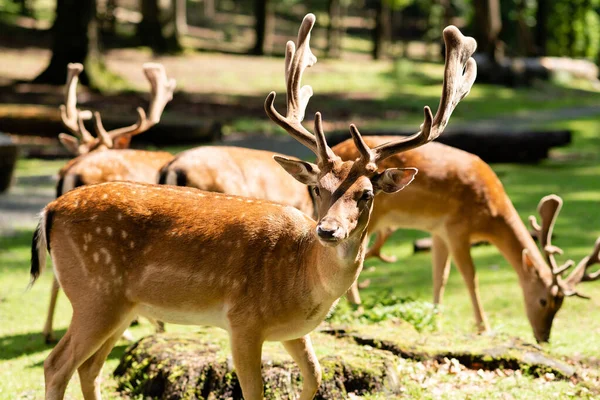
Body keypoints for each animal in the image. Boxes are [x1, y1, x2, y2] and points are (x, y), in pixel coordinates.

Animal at [332, 139, 600, 342]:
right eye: (543, 301)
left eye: (560, 305)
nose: (543, 338)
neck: (489, 215)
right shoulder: (456, 229)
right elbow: (471, 277)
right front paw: (484, 327)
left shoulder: (438, 231)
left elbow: (440, 276)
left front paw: (436, 320)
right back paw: (356, 310)